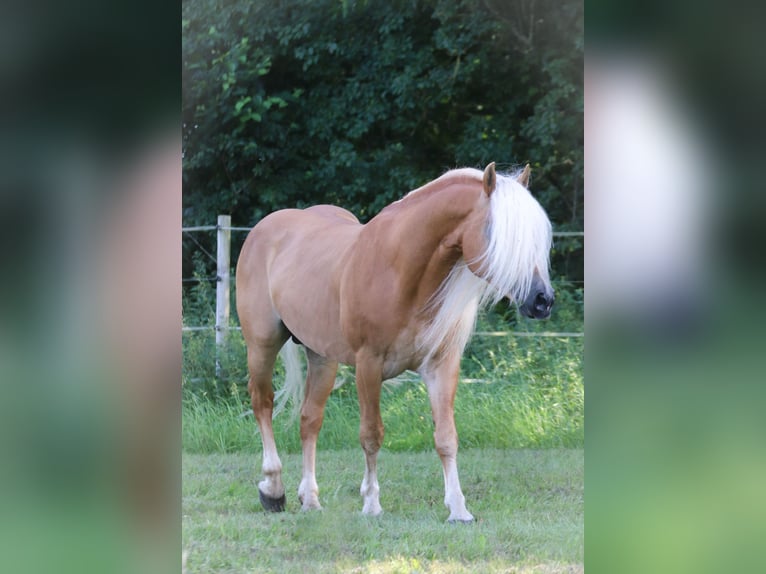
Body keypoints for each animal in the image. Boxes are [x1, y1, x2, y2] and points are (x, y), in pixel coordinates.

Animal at [235, 162, 554, 522]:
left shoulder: (441, 367)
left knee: (310, 420)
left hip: (322, 357)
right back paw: (273, 490)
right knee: (263, 404)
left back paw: (310, 499)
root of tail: (266, 227)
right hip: (261, 344)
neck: (401, 272)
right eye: (499, 235)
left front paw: (459, 509)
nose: (543, 300)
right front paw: (372, 503)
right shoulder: (368, 365)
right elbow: (372, 435)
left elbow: (446, 437)